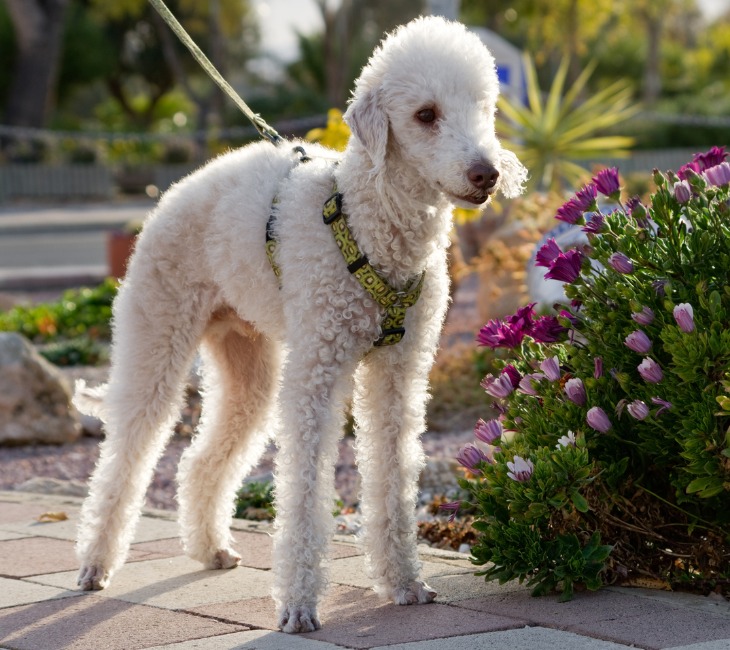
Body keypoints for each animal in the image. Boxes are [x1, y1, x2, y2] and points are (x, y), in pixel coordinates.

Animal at [72, 15, 524, 632]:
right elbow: (305, 489)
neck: (370, 222)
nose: (487, 174)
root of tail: (173, 194)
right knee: (127, 455)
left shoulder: (399, 373)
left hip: (247, 362)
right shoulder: (317, 372)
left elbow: (393, 473)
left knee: (199, 461)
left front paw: (404, 582)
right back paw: (96, 564)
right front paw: (298, 606)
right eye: (426, 115)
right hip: (157, 332)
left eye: (483, 107)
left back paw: (210, 547)